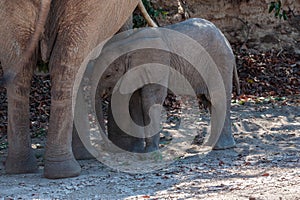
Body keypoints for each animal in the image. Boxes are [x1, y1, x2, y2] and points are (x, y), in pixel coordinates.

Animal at [94, 18, 239, 153]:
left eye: (108, 75)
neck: (128, 44)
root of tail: (224, 37)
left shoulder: (158, 65)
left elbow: (150, 101)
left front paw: (149, 152)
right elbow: (134, 103)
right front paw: (137, 152)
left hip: (219, 61)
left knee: (217, 98)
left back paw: (221, 147)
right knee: (209, 101)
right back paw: (210, 145)